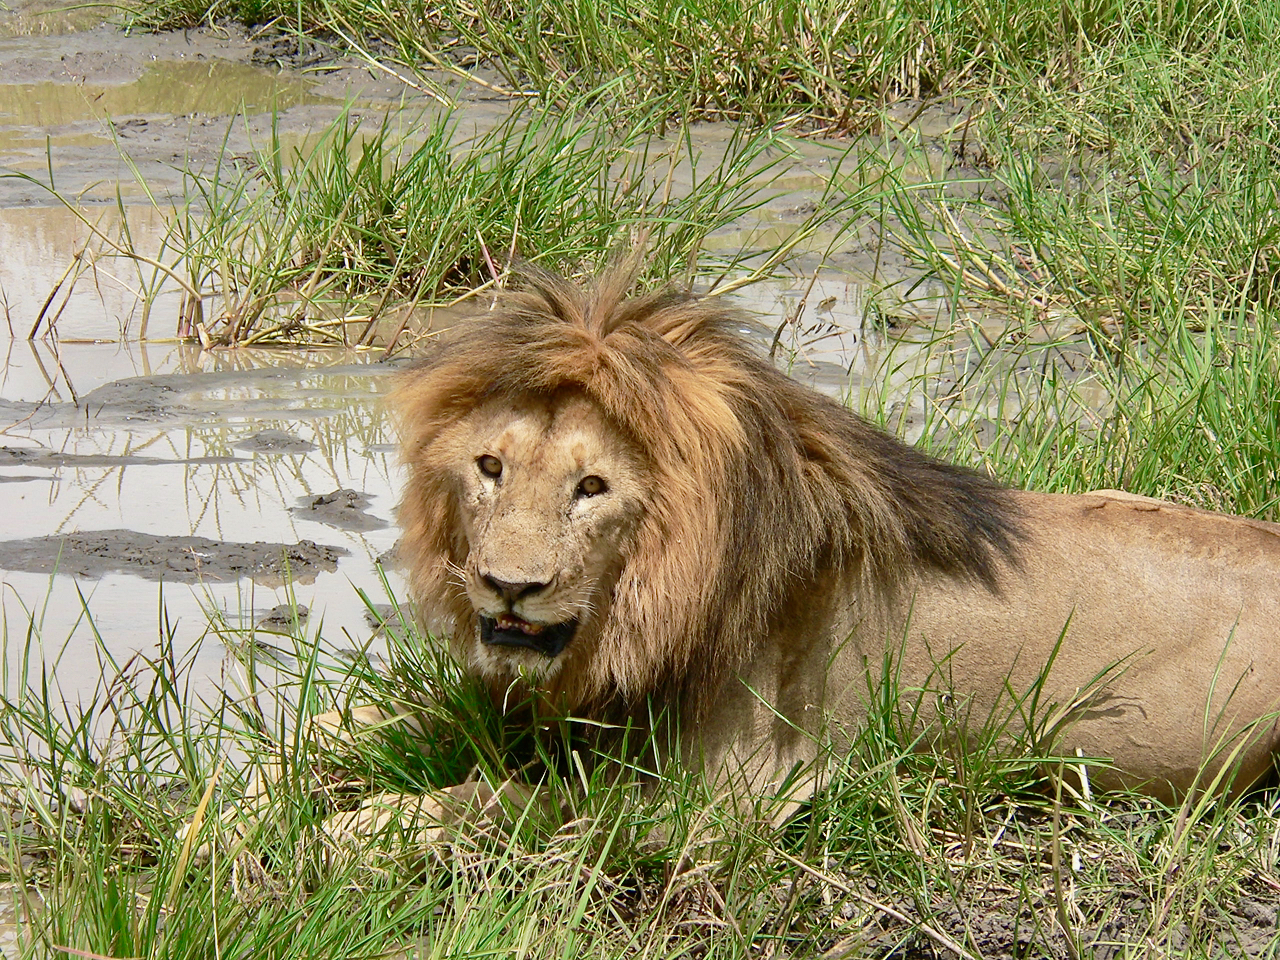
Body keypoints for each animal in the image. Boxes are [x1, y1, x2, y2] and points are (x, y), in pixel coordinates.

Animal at [347, 267, 1280, 840]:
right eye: (490, 467)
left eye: (592, 487)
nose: (508, 587)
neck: (642, 609)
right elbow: (381, 717)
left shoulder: (728, 798)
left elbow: (495, 800)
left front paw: (350, 834)